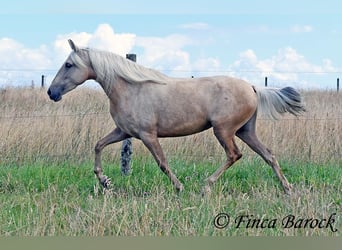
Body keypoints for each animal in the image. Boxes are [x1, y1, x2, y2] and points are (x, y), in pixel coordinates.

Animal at [47, 39, 304, 195]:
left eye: (69, 64)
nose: (51, 92)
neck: (130, 88)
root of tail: (252, 87)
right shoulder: (123, 132)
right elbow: (98, 145)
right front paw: (105, 181)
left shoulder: (147, 135)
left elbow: (162, 163)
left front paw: (179, 187)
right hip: (245, 131)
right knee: (268, 155)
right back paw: (288, 188)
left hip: (224, 130)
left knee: (234, 155)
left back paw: (206, 186)